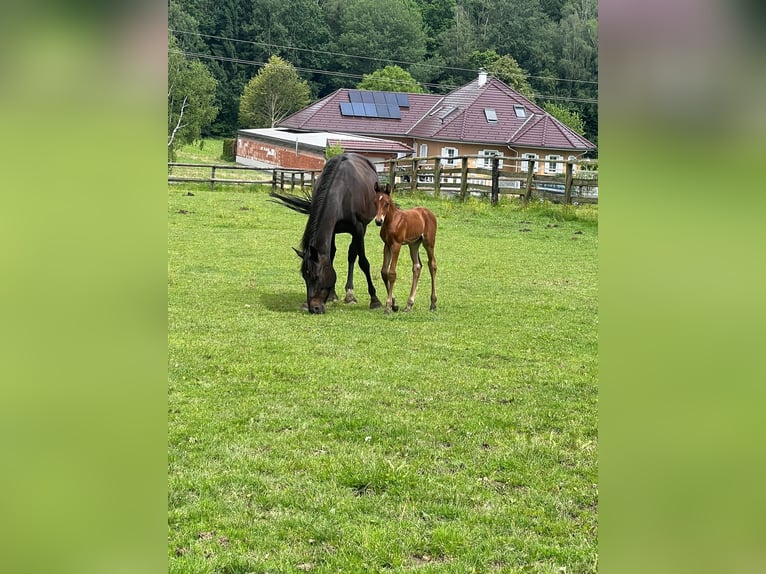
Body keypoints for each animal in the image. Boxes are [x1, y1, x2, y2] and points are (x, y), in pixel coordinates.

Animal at [272, 153, 384, 316]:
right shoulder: (333, 229)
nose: (314, 308)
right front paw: (331, 295)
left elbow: (363, 262)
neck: (343, 192)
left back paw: (350, 293)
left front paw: (374, 300)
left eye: (317, 277)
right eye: (304, 277)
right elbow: (330, 257)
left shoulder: (359, 229)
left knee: (352, 255)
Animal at [376, 186, 440, 316]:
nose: (378, 221)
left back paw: (433, 303)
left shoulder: (396, 245)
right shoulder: (387, 245)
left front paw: (388, 307)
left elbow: (391, 273)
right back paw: (409, 304)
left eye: (386, 203)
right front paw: (394, 304)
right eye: (375, 202)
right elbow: (384, 272)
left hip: (429, 243)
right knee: (417, 266)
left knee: (432, 265)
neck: (392, 220)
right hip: (414, 244)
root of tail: (428, 212)